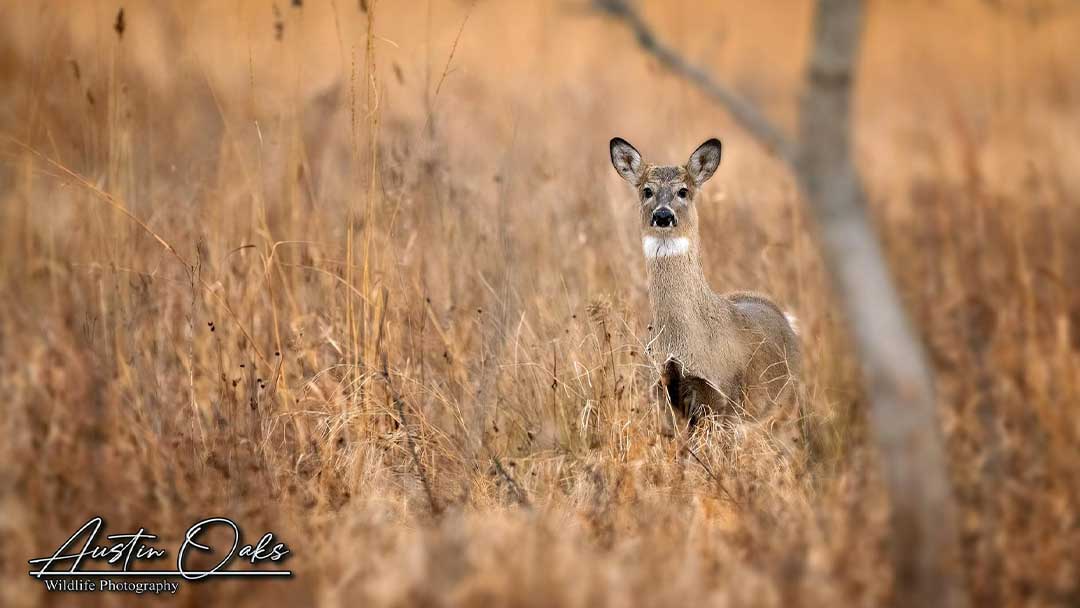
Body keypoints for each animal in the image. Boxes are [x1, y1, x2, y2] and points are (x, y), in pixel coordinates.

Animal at [609, 138, 803, 438]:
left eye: (683, 191)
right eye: (647, 190)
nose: (663, 215)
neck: (686, 341)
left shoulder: (725, 400)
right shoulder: (663, 396)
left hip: (784, 406)